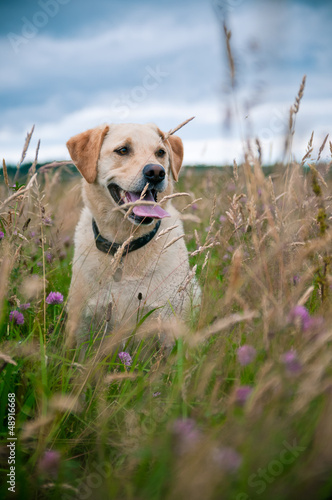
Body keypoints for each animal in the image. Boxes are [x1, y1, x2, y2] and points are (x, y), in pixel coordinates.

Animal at [66, 122, 198, 352]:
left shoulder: (167, 325)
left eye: (160, 152)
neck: (124, 244)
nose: (156, 172)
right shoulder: (80, 322)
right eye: (123, 150)